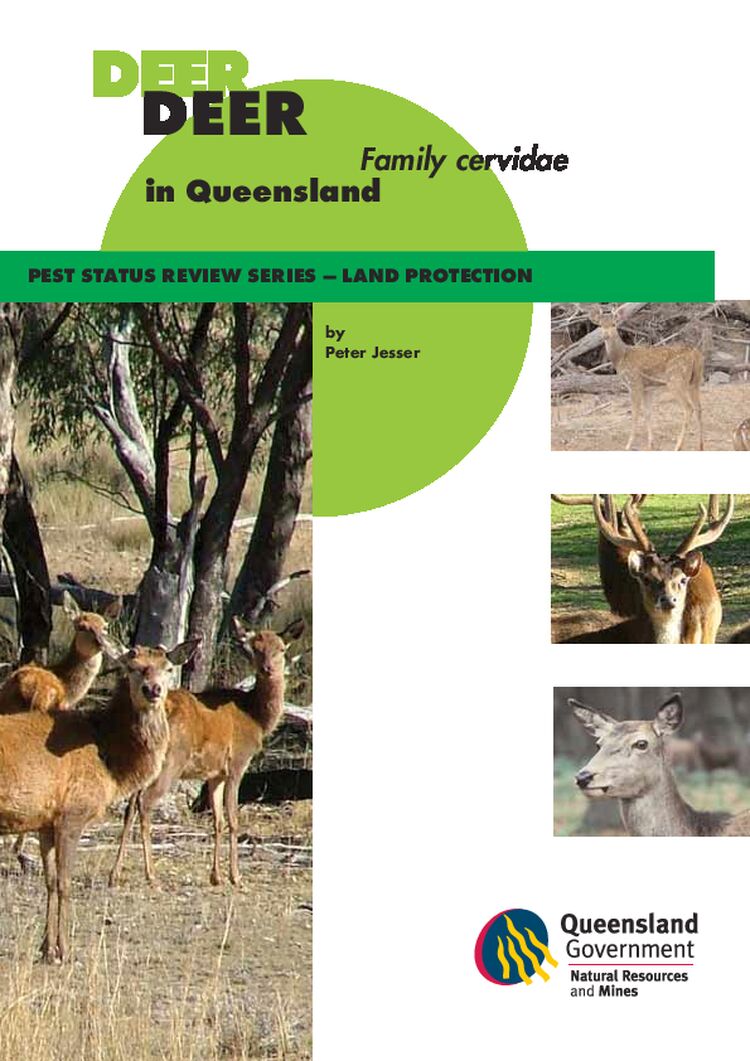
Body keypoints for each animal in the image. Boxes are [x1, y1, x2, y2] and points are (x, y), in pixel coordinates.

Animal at [0, 640, 198, 962]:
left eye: (168, 667)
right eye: (131, 667)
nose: (152, 689)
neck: (111, 763)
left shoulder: (46, 821)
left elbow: (50, 882)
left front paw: (46, 948)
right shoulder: (73, 812)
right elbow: (65, 883)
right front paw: (65, 950)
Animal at [108, 617, 304, 889]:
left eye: (282, 649)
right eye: (255, 649)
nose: (267, 669)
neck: (256, 718)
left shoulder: (215, 774)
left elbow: (218, 821)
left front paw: (216, 876)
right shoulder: (237, 763)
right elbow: (233, 820)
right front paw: (235, 876)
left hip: (147, 763)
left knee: (130, 807)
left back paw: (114, 874)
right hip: (172, 762)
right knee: (144, 803)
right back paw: (151, 874)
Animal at [578, 304, 704, 450]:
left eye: (614, 324)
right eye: (600, 325)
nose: (605, 335)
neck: (621, 357)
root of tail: (695, 354)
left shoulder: (634, 383)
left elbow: (635, 414)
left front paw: (628, 445)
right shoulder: (648, 388)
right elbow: (648, 413)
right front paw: (651, 444)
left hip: (676, 379)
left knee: (688, 408)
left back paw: (678, 446)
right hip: (694, 381)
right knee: (699, 408)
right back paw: (700, 446)